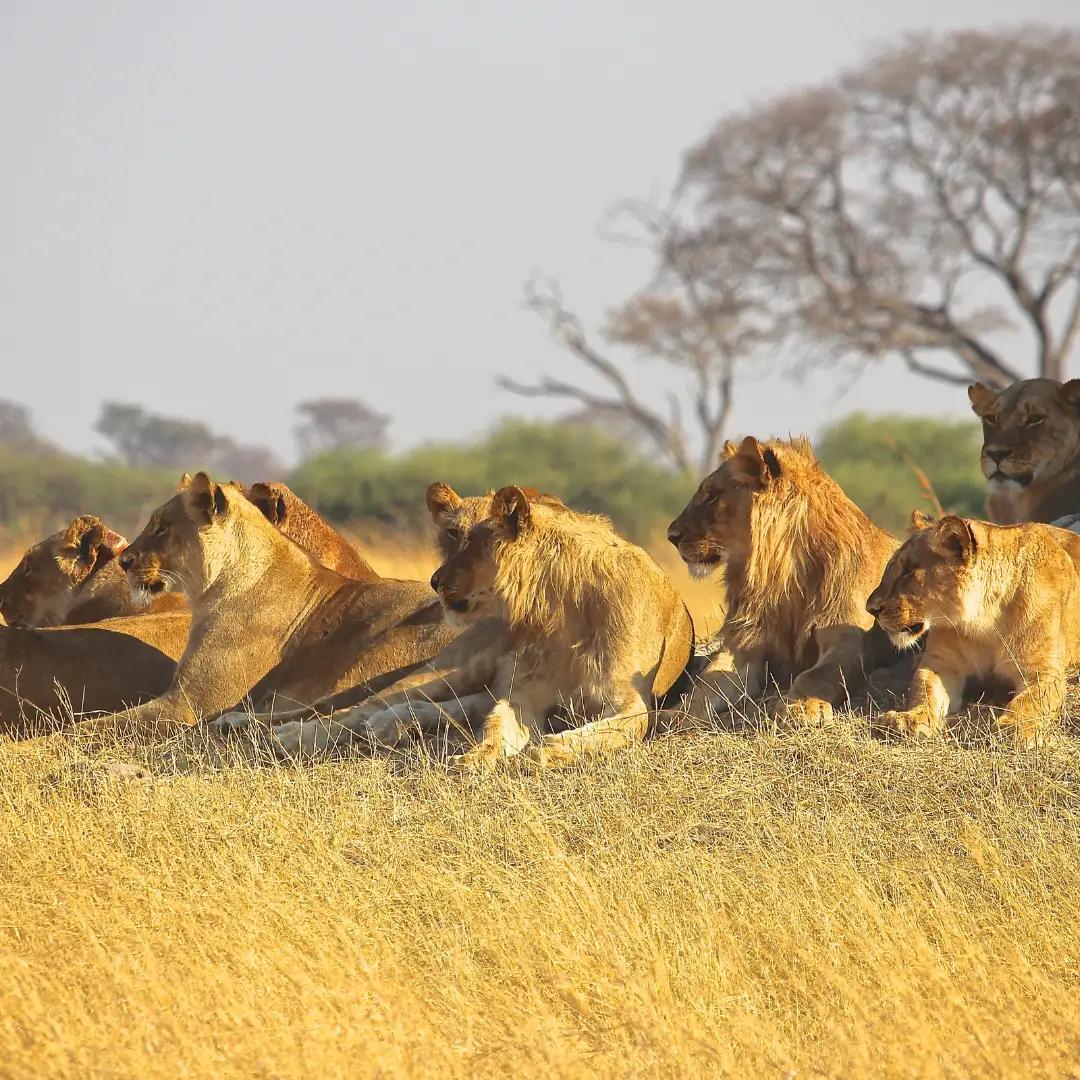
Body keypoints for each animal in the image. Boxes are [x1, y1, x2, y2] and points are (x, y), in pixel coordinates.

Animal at [73, 472, 454, 739]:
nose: (124, 561)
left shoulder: (188, 703)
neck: (211, 589)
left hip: (379, 651)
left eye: (162, 528)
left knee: (348, 706)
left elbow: (94, 726)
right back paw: (237, 723)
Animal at [664, 436, 900, 725]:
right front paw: (677, 713)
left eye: (712, 495)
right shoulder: (745, 644)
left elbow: (817, 675)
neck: (784, 575)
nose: (671, 535)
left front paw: (801, 706)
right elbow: (708, 681)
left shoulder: (850, 641)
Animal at [866, 512, 1080, 746]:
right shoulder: (942, 663)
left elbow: (1029, 700)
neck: (986, 622)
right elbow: (924, 689)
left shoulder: (1043, 670)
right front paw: (908, 719)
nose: (870, 608)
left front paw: (1013, 726)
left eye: (908, 572)